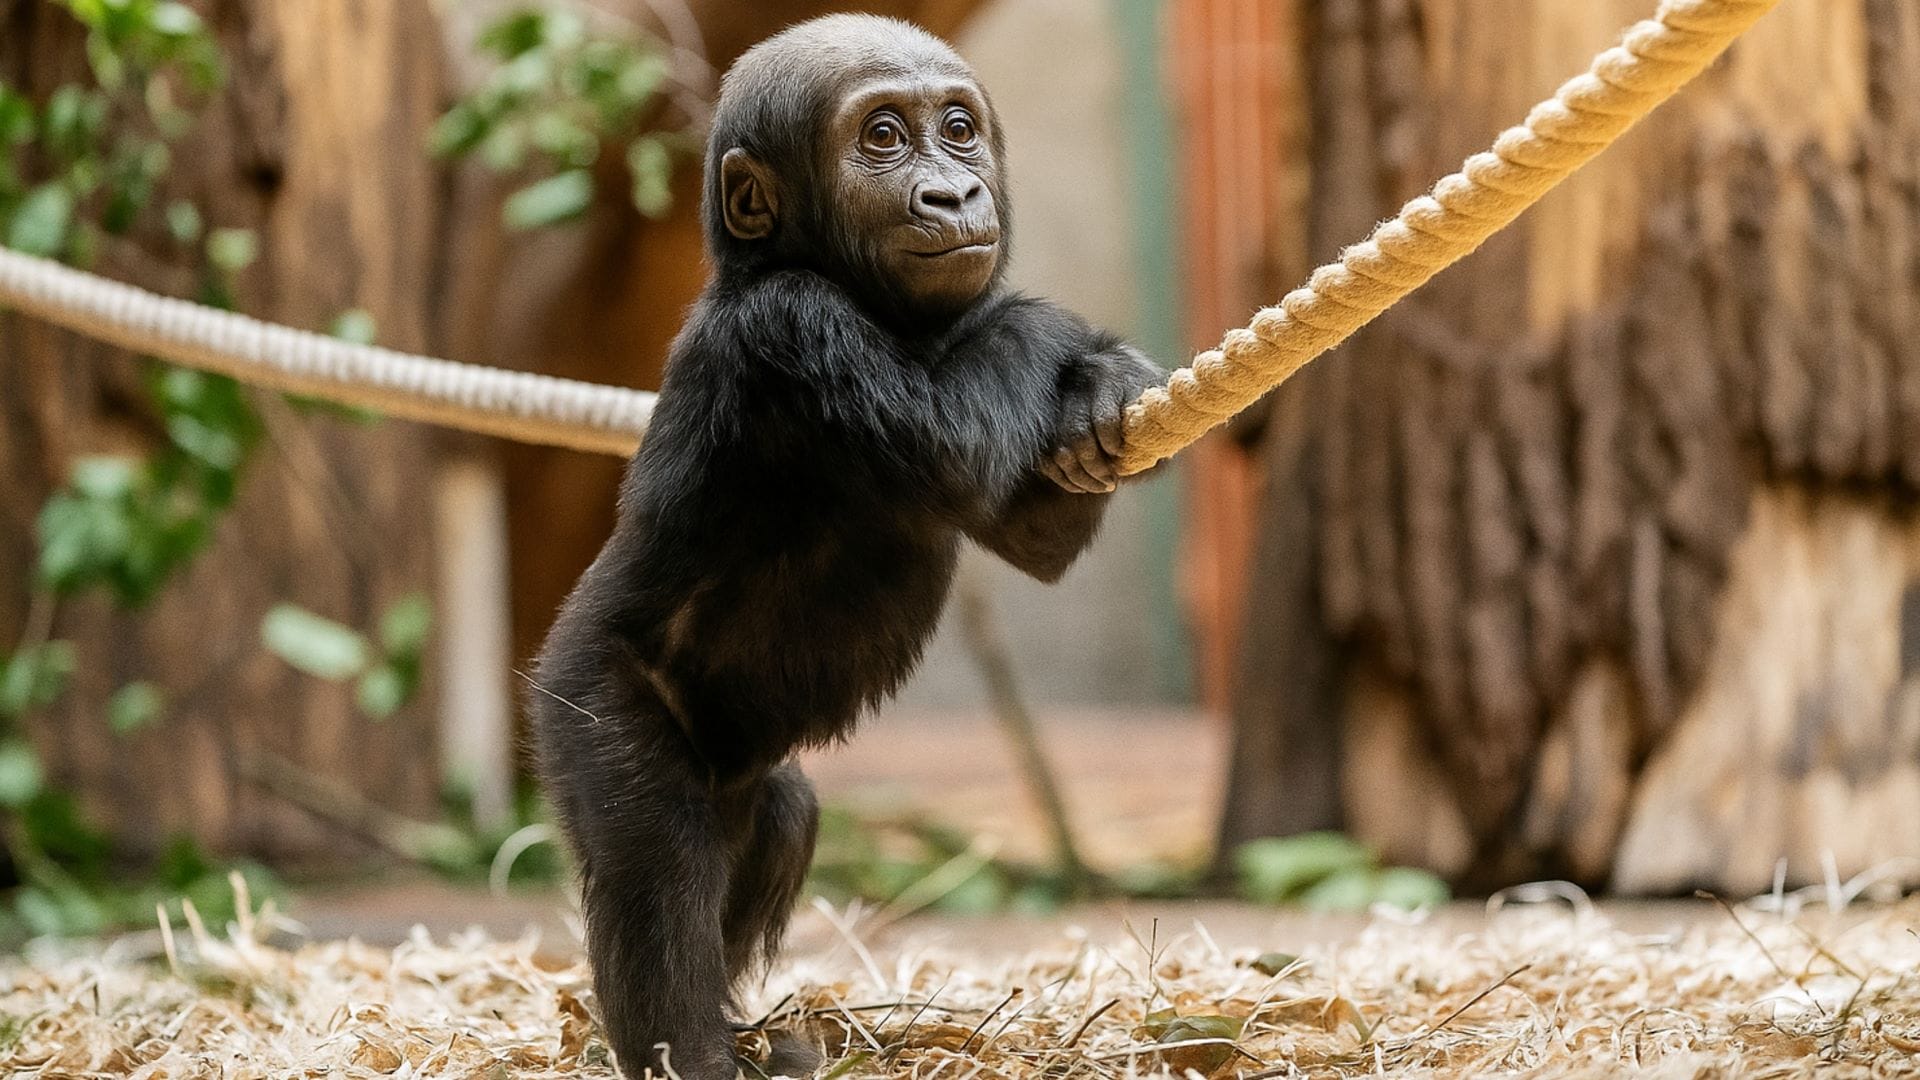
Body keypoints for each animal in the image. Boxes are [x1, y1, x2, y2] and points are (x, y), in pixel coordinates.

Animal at [530, 15, 1164, 1079]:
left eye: (957, 129)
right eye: (883, 138)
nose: (954, 192)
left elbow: (1030, 533)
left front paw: (1098, 387)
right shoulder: (792, 326)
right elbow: (957, 442)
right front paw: (1068, 339)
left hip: (742, 771)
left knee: (778, 823)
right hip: (586, 697)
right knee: (655, 871)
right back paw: (693, 1053)